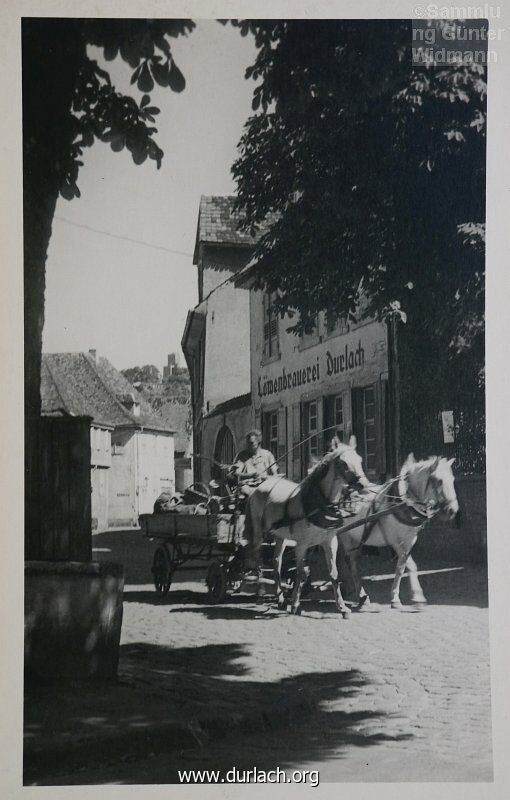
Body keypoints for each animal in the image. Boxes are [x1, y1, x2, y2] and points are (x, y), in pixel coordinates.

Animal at [243, 438, 366, 620]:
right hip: (259, 533)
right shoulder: (301, 545)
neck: (318, 505)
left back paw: (280, 599)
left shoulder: (330, 542)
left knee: (276, 563)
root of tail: (258, 487)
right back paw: (261, 593)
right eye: (343, 463)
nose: (363, 484)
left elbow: (334, 574)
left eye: (359, 459)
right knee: (258, 560)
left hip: (280, 536)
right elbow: (300, 574)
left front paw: (343, 608)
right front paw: (295, 605)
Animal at [340, 454, 460, 608]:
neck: (404, 503)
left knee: (351, 560)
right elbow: (406, 565)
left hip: (356, 538)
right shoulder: (395, 541)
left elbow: (404, 566)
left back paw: (356, 593)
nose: (453, 510)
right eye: (439, 481)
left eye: (452, 479)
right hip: (345, 536)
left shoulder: (410, 540)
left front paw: (407, 597)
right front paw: (410, 597)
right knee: (349, 562)